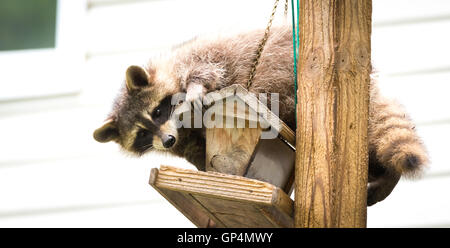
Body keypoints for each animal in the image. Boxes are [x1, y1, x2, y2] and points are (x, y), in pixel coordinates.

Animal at [94, 26, 428, 206]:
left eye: (158, 110)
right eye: (141, 134)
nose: (166, 140)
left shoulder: (194, 58)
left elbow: (204, 70)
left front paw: (194, 89)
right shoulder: (184, 139)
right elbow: (199, 153)